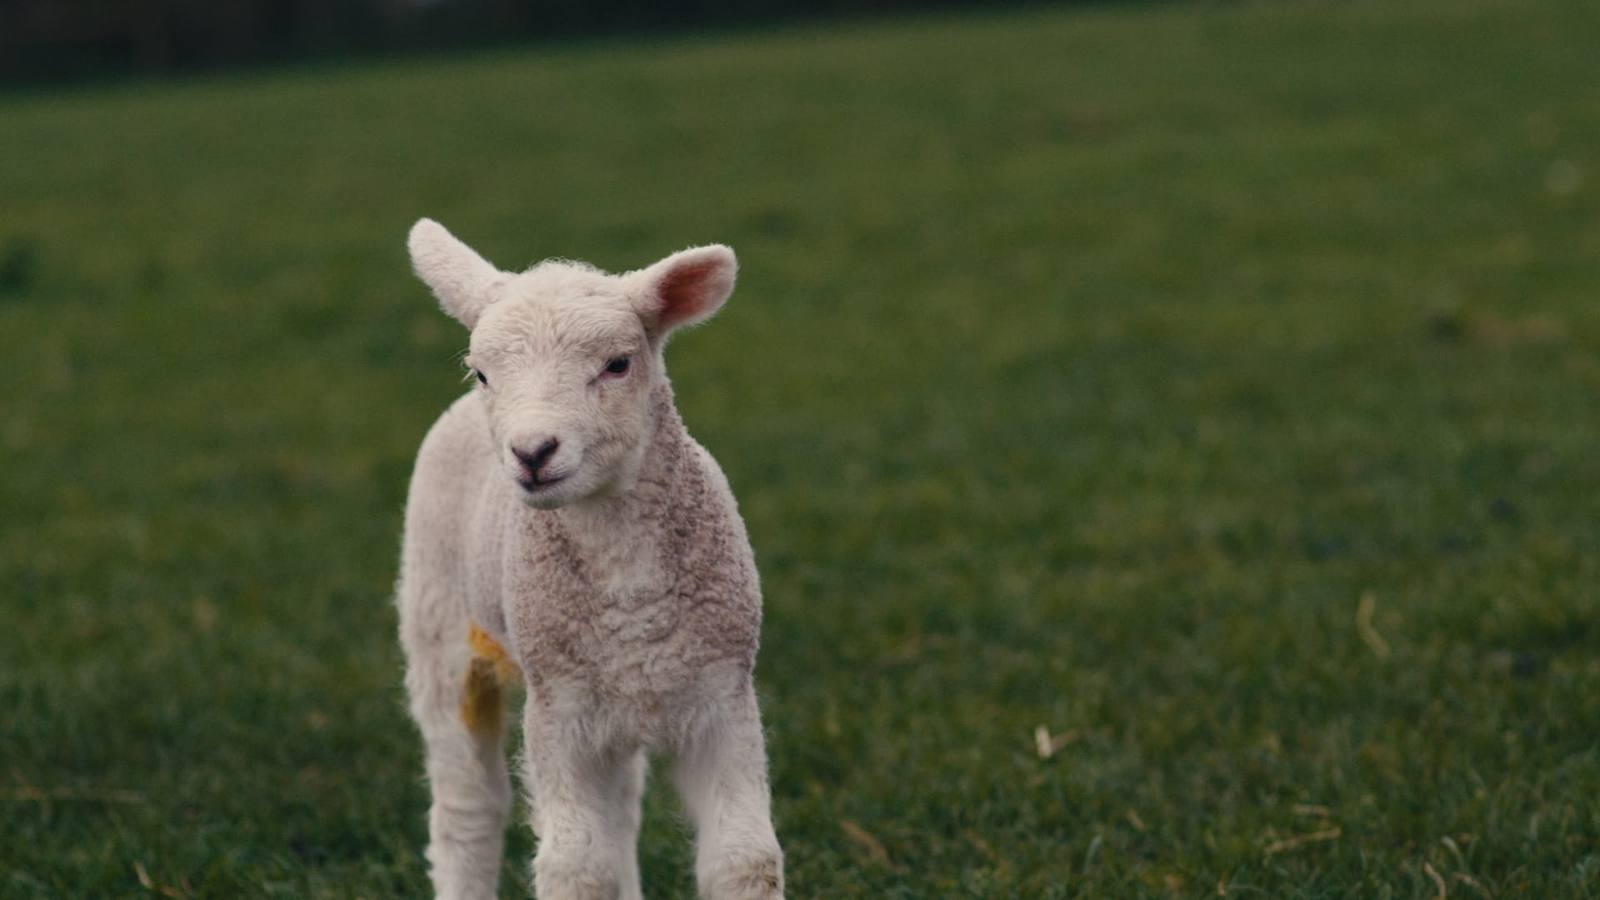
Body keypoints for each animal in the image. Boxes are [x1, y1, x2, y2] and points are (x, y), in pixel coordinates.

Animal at [396, 219, 784, 900]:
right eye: (481, 373)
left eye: (618, 364)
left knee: (621, 811)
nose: (532, 452)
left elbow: (744, 858)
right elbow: (577, 867)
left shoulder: (721, 695)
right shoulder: (560, 709)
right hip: (439, 632)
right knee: (467, 811)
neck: (627, 585)